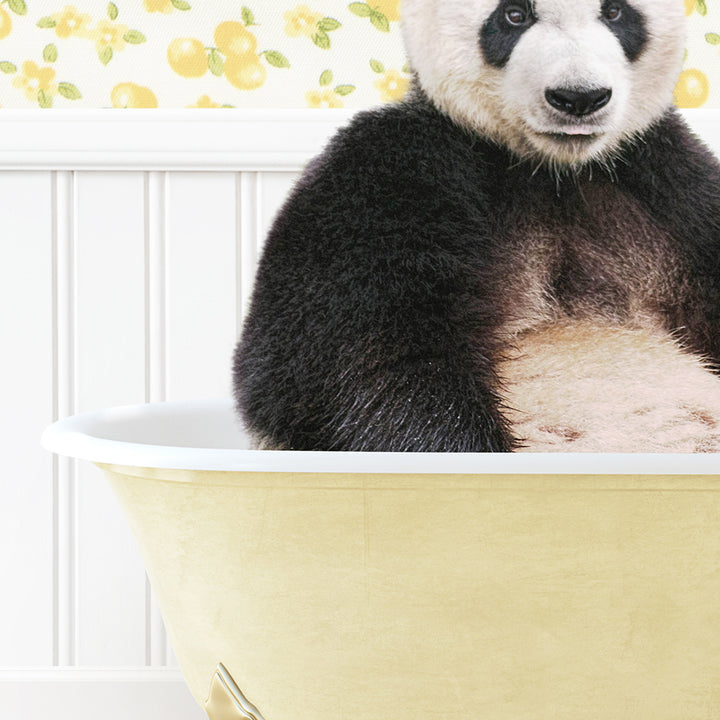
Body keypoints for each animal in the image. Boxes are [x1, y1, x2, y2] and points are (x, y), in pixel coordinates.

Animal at [233, 0, 720, 450]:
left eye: (616, 12)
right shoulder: (393, 175)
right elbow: (342, 358)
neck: (551, 170)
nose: (578, 97)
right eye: (514, 15)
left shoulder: (670, 181)